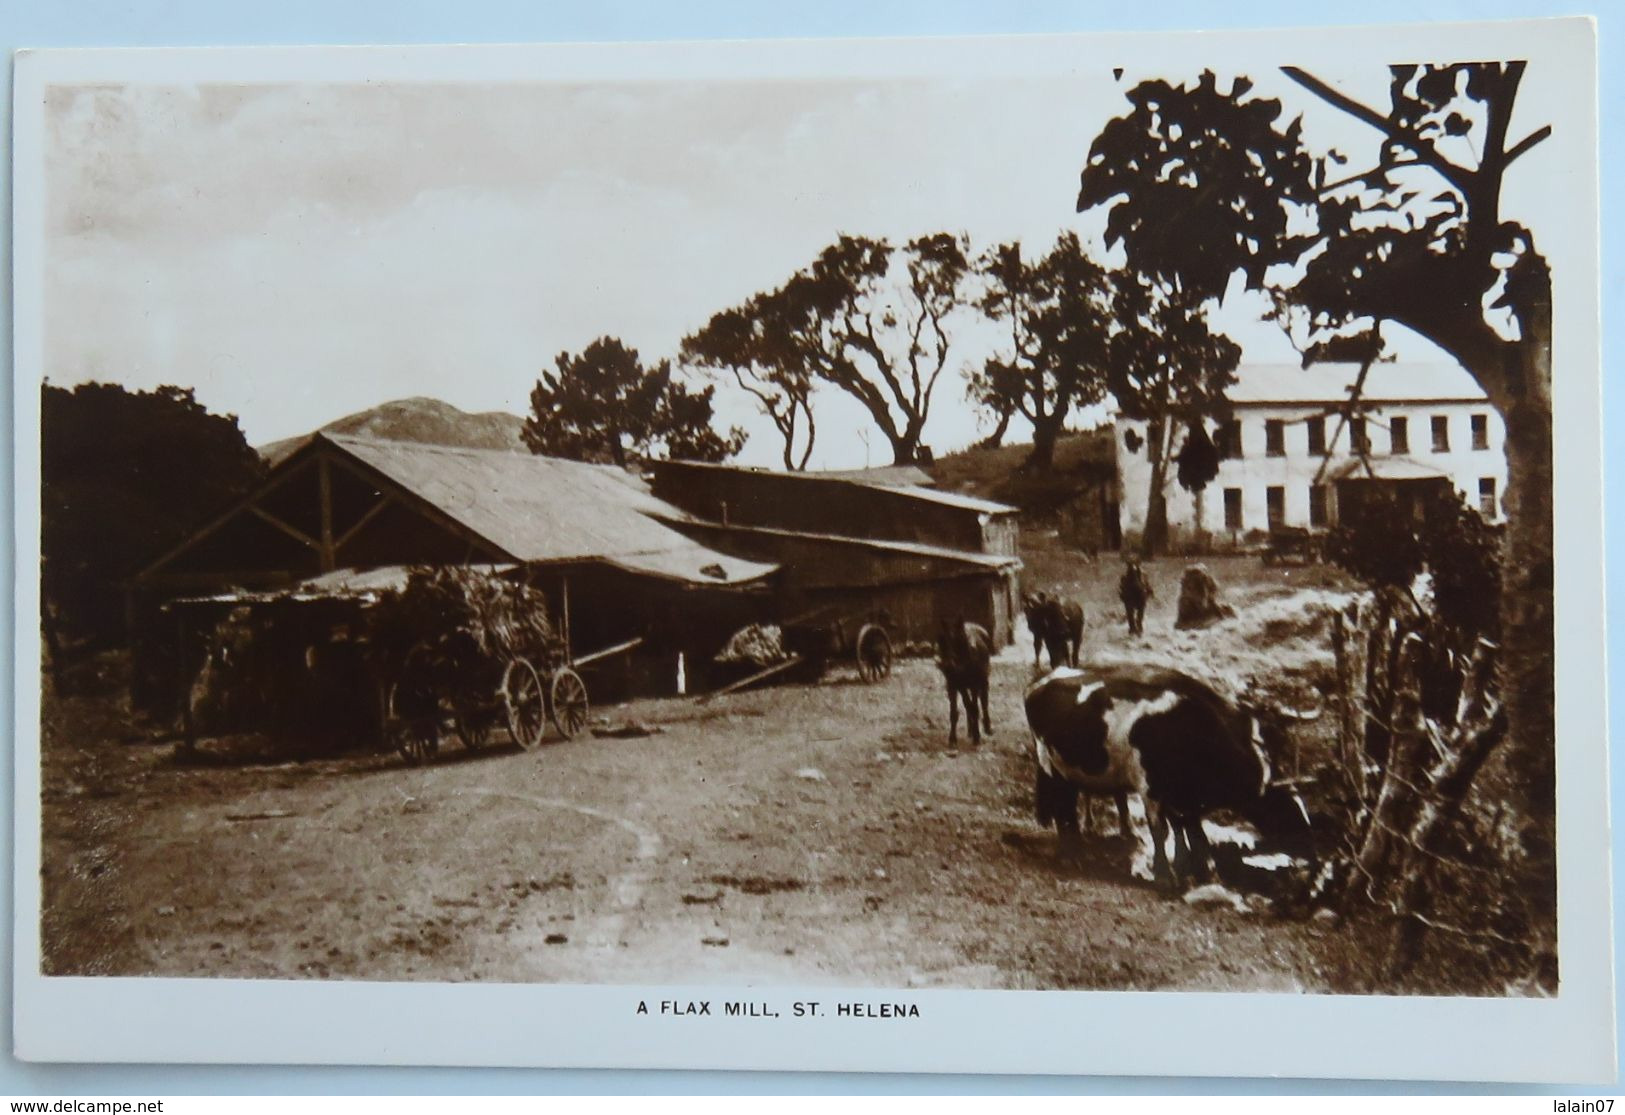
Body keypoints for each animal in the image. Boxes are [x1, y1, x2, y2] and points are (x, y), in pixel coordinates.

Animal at [1027, 663, 1319, 890]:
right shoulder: (1149, 786)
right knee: (1062, 809)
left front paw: (1202, 871)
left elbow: (1191, 829)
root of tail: (1042, 681)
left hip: (1067, 771)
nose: (1313, 852)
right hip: (1050, 765)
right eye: (1286, 811)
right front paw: (1166, 876)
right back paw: (1069, 855)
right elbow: (1161, 830)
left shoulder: (1184, 795)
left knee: (1067, 808)